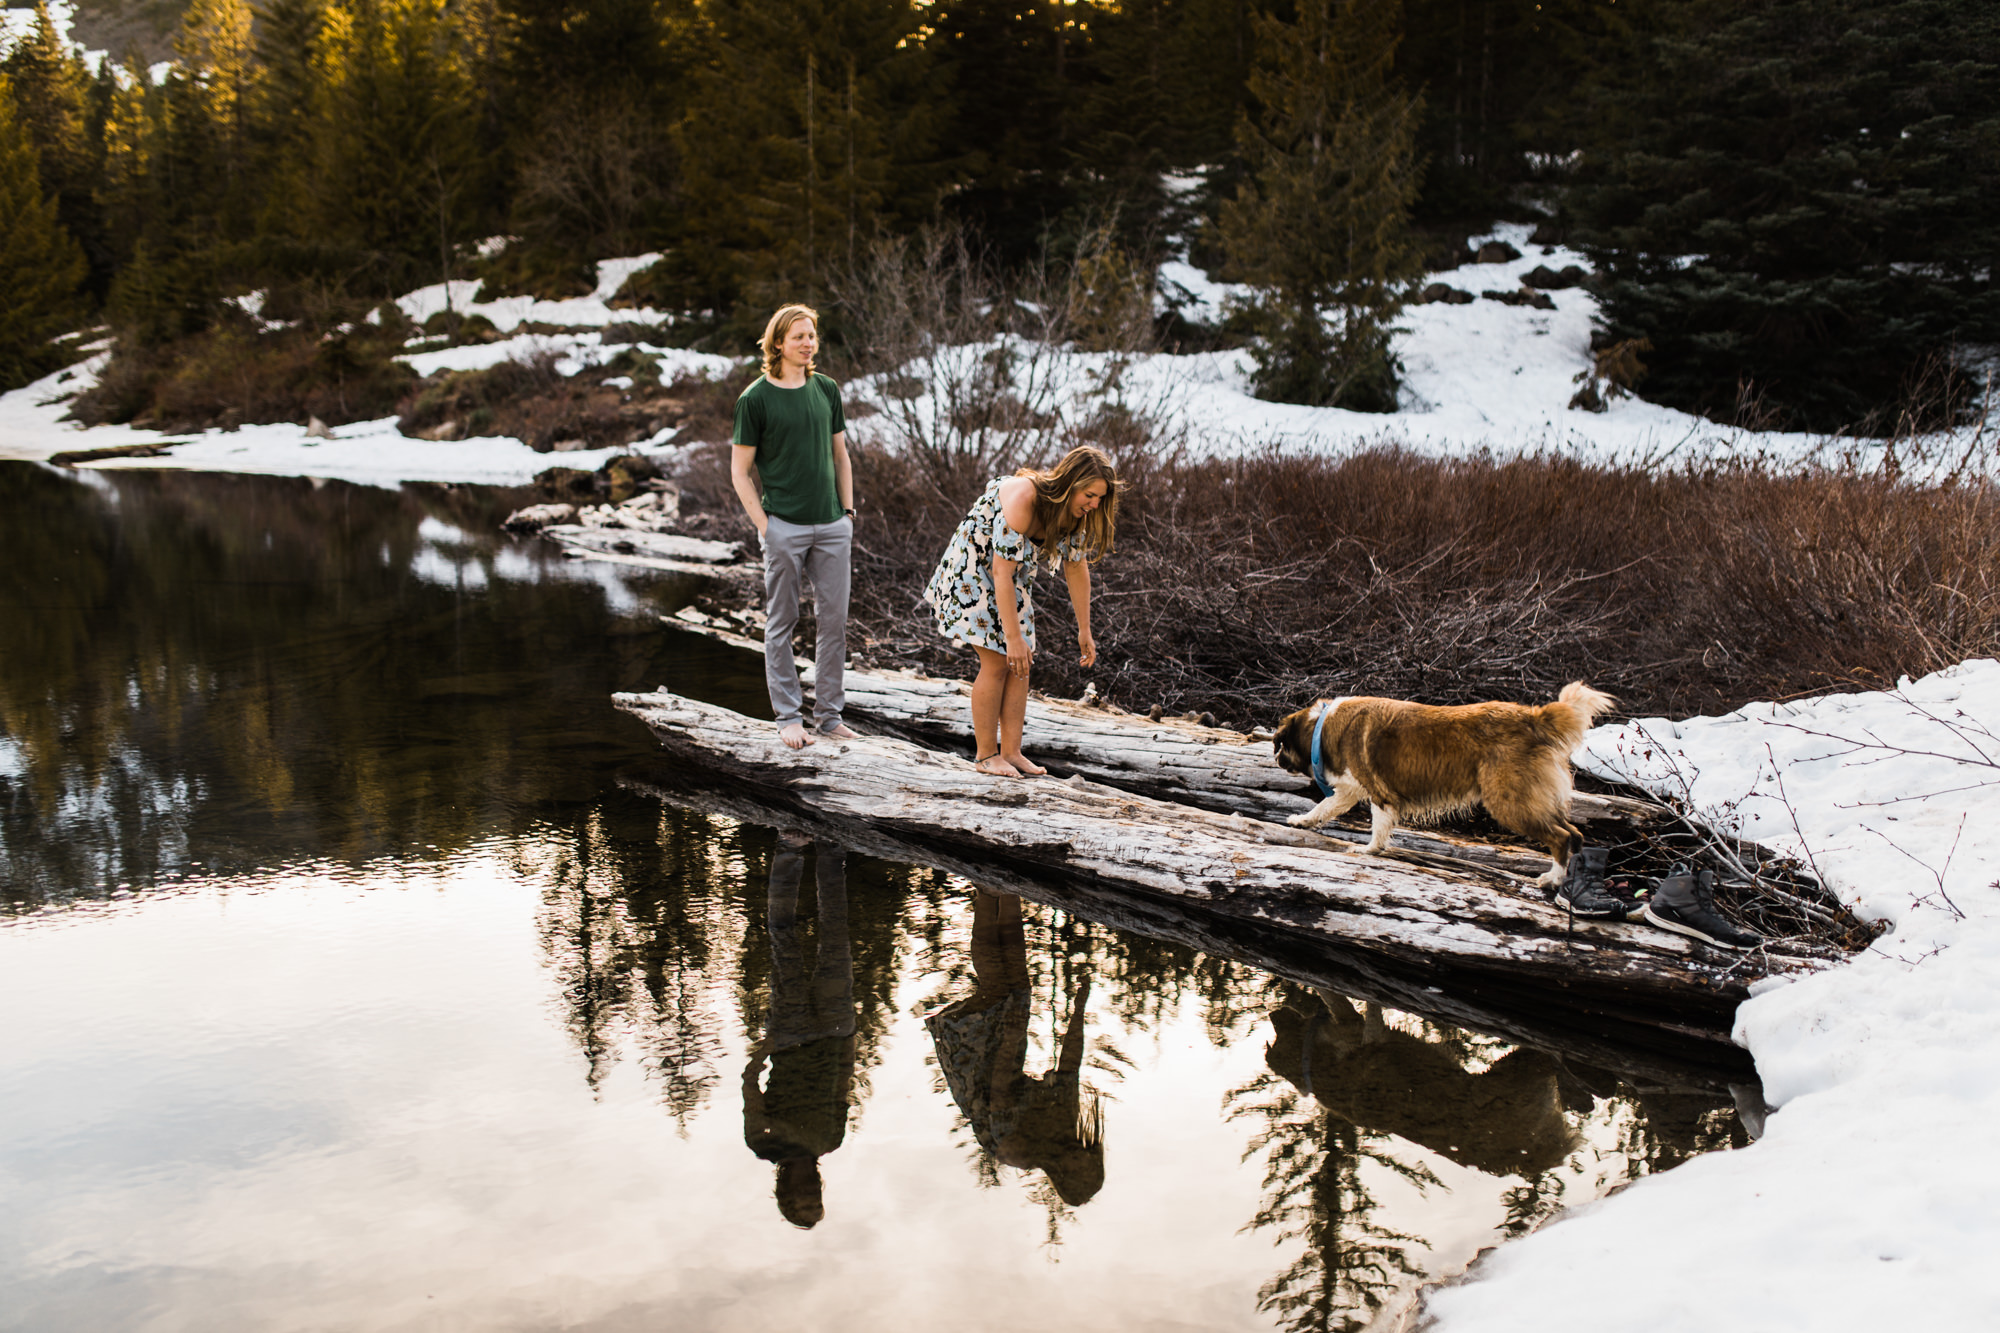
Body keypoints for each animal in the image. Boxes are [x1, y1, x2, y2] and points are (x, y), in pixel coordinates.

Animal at [1272, 680, 1616, 888]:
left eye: (1280, 745)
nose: (1275, 760)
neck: (1321, 726)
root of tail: (1533, 717)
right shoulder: (1348, 789)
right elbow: (1323, 807)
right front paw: (1301, 821)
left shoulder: (1378, 792)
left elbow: (1377, 825)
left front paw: (1370, 849)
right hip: (1532, 798)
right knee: (1574, 833)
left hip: (1509, 801)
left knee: (1560, 837)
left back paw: (1552, 878)